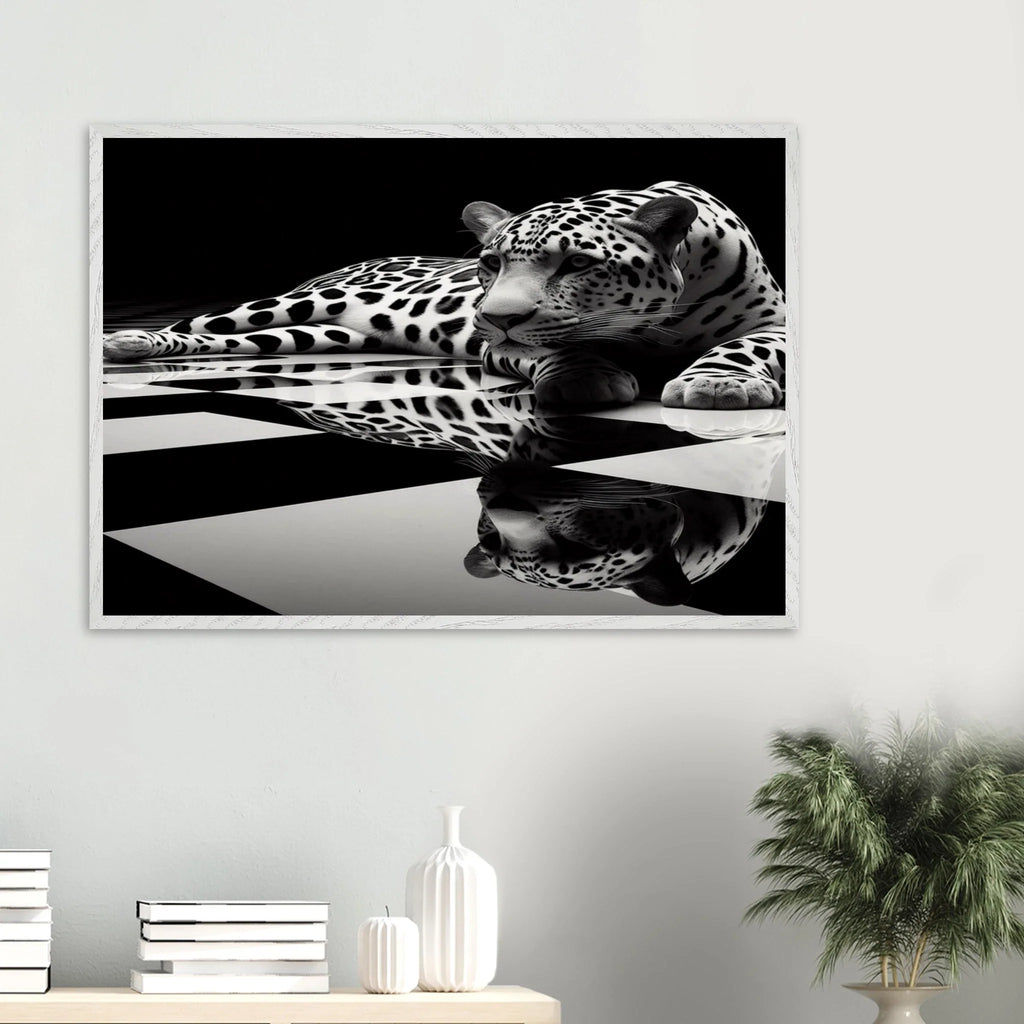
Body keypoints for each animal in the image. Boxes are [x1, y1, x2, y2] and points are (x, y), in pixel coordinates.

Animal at [103, 181, 786, 410]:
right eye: (489, 263)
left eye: (577, 263)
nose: (494, 316)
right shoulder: (499, 348)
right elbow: (555, 347)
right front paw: (584, 377)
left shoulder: (777, 325)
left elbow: (744, 347)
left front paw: (719, 384)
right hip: (291, 305)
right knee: (203, 323)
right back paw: (129, 342)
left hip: (317, 335)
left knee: (243, 341)